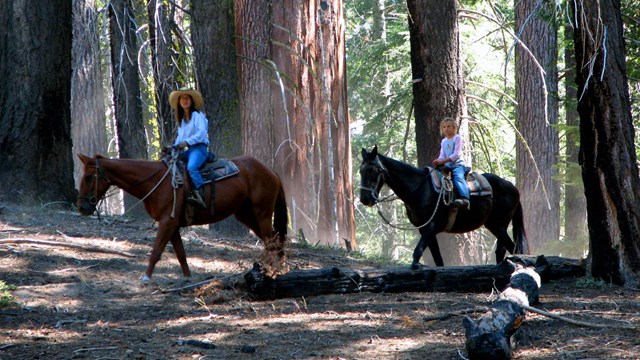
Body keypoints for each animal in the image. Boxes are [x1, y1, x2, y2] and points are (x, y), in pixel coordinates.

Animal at [75, 153, 288, 282]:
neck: (156, 182)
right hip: (246, 215)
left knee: (272, 242)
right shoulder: (173, 225)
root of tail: (271, 171)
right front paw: (187, 278)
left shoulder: (166, 223)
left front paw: (146, 278)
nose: (82, 207)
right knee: (274, 241)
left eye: (89, 177)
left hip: (262, 213)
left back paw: (271, 270)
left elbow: (156, 251)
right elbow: (181, 254)